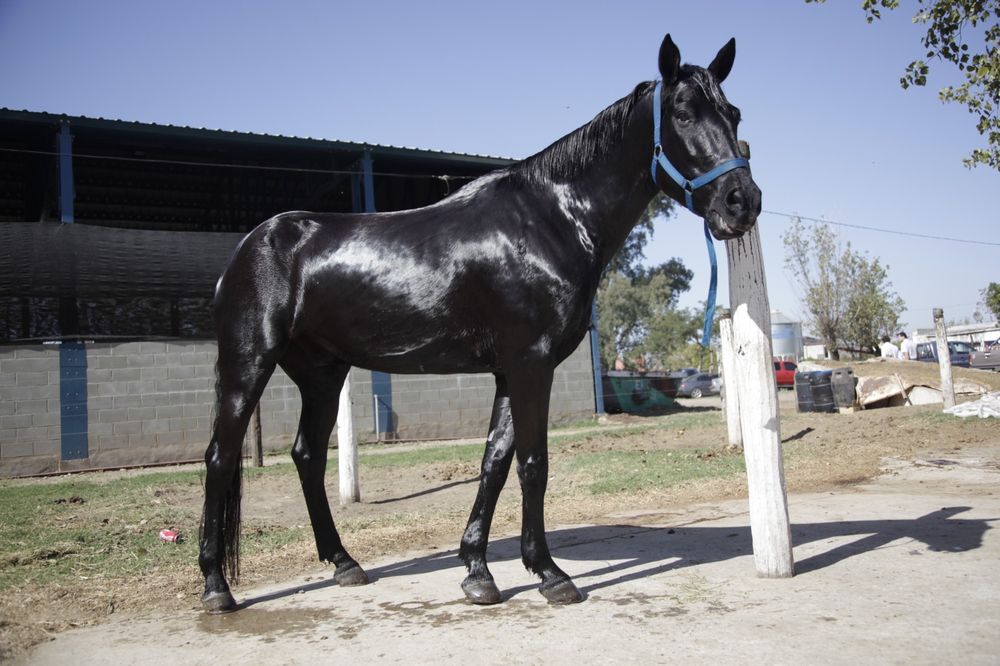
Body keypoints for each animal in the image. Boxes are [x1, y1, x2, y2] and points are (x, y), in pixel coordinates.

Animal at [199, 33, 761, 613]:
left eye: (734, 113)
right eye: (683, 113)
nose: (742, 202)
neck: (553, 219)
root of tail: (249, 246)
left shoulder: (509, 371)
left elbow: (494, 462)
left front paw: (477, 572)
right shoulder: (532, 364)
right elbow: (533, 464)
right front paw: (550, 573)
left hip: (322, 373)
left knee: (307, 456)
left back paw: (344, 564)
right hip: (248, 365)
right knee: (220, 457)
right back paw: (217, 586)